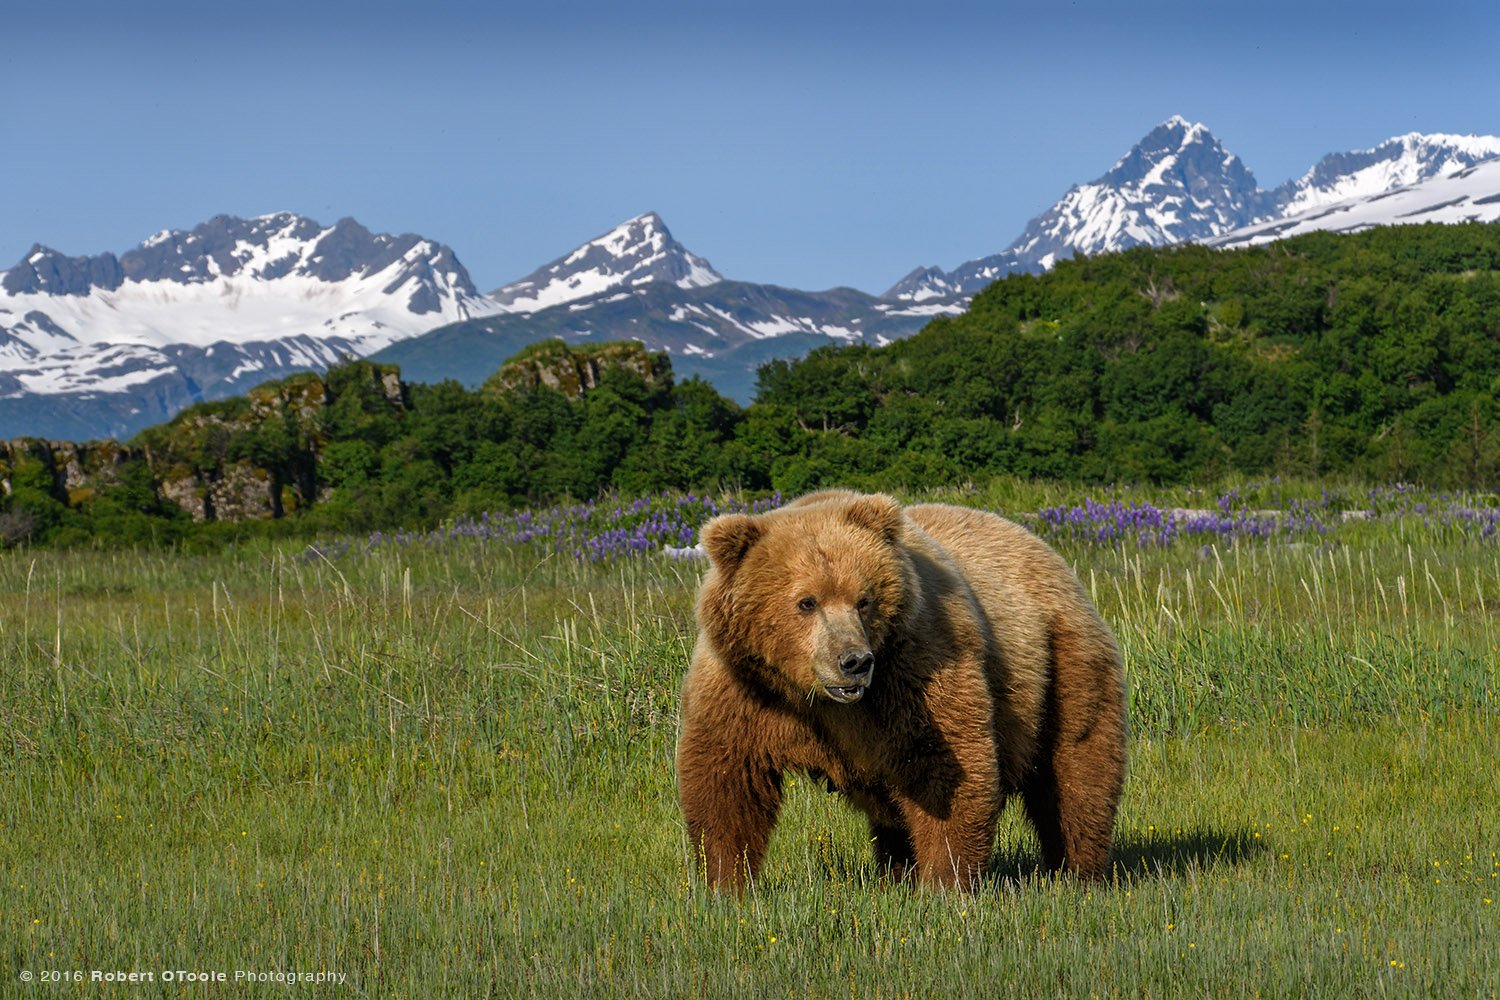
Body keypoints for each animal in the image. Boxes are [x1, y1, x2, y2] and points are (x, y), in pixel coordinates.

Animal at [678, 488, 1128, 887]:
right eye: (807, 602)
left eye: (864, 600)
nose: (854, 661)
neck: (816, 699)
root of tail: (1043, 548)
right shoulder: (745, 689)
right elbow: (726, 779)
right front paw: (726, 883)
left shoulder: (915, 671)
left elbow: (946, 769)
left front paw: (944, 882)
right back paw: (896, 873)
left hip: (1061, 662)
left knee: (1075, 771)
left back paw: (1077, 872)